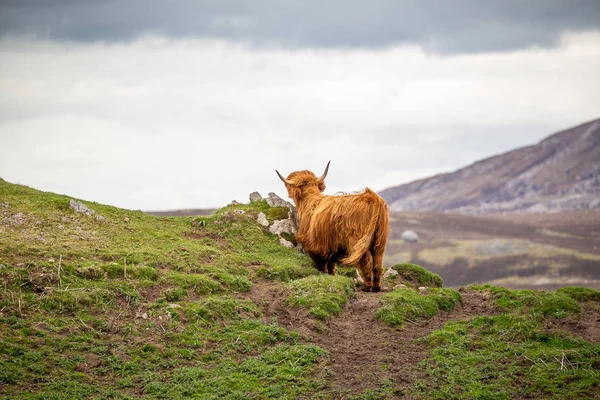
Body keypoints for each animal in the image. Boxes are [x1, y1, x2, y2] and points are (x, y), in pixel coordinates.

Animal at [276, 161, 390, 292]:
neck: (309, 203)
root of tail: (372, 197)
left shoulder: (315, 244)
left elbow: (321, 262)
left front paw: (322, 273)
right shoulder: (333, 246)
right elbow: (331, 264)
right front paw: (331, 274)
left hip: (357, 240)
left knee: (366, 260)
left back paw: (367, 287)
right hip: (380, 239)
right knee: (377, 261)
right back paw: (376, 287)